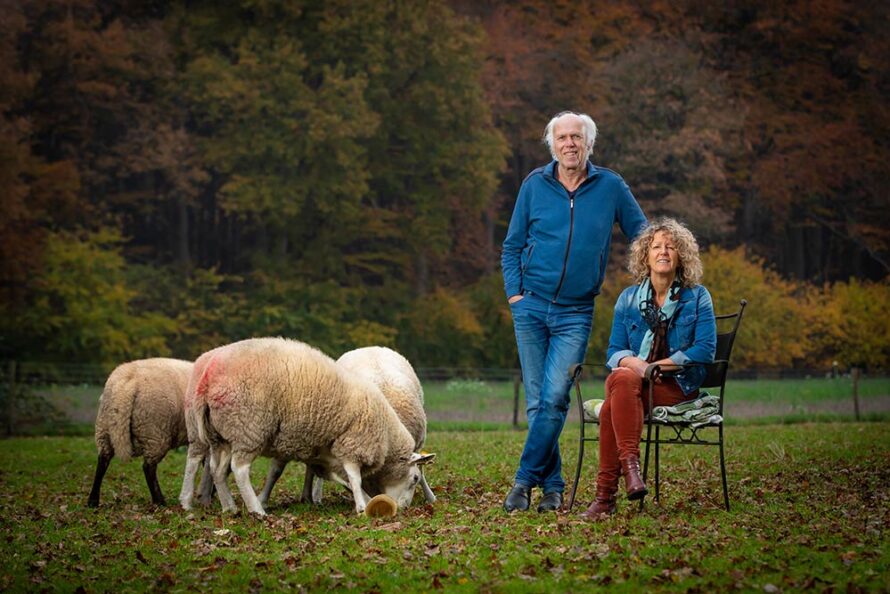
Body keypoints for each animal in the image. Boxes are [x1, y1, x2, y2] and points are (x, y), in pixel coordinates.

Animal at [87, 356, 213, 504]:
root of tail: (128, 379)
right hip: (155, 433)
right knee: (148, 467)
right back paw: (159, 500)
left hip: (104, 428)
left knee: (103, 460)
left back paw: (93, 500)